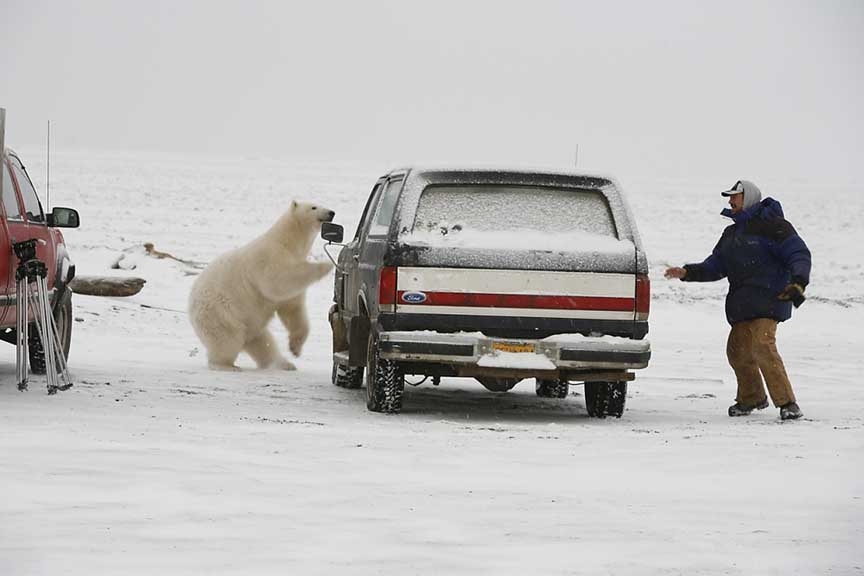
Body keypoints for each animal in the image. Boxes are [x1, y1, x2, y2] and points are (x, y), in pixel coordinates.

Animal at [188, 202, 334, 372]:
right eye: (313, 207)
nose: (331, 212)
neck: (286, 242)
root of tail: (191, 310)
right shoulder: (269, 258)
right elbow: (278, 281)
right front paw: (326, 265)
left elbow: (292, 309)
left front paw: (295, 348)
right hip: (220, 314)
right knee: (227, 339)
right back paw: (226, 365)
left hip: (250, 323)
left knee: (263, 342)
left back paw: (284, 364)